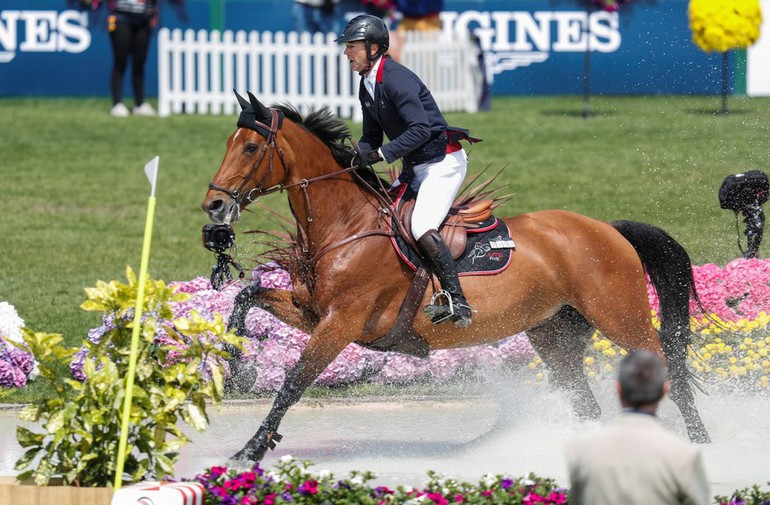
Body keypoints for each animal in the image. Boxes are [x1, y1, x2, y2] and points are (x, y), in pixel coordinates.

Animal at [200, 91, 708, 460]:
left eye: (250, 147)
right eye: (225, 144)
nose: (214, 207)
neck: (345, 226)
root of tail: (607, 227)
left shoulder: (340, 322)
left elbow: (293, 382)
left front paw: (251, 449)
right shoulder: (311, 312)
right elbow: (247, 295)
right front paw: (237, 367)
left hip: (620, 318)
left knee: (669, 371)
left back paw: (701, 442)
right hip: (555, 333)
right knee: (584, 399)